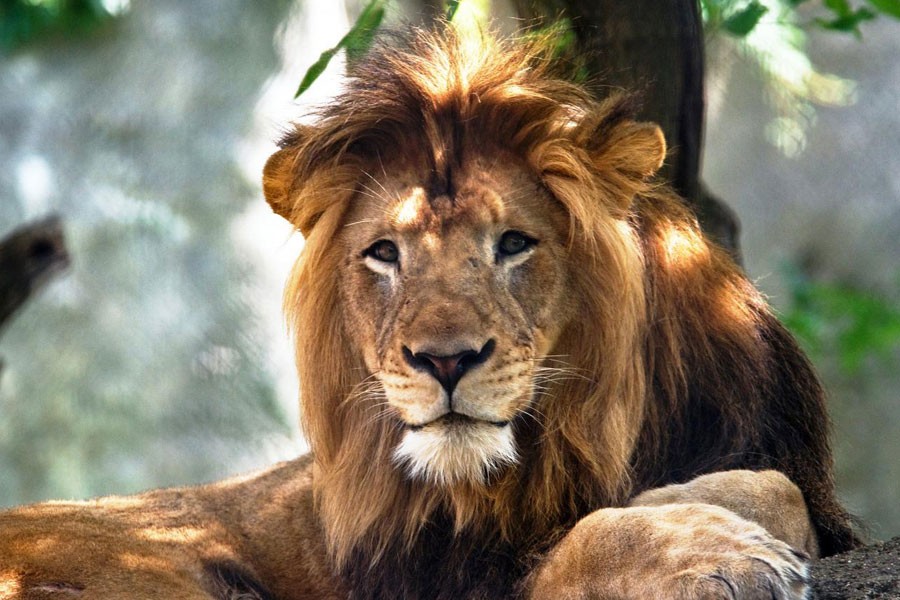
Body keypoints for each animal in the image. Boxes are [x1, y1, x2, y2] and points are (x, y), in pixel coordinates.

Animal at [0, 25, 856, 596]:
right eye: (384, 252)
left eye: (514, 243)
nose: (444, 360)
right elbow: (586, 540)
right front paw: (712, 553)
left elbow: (769, 487)